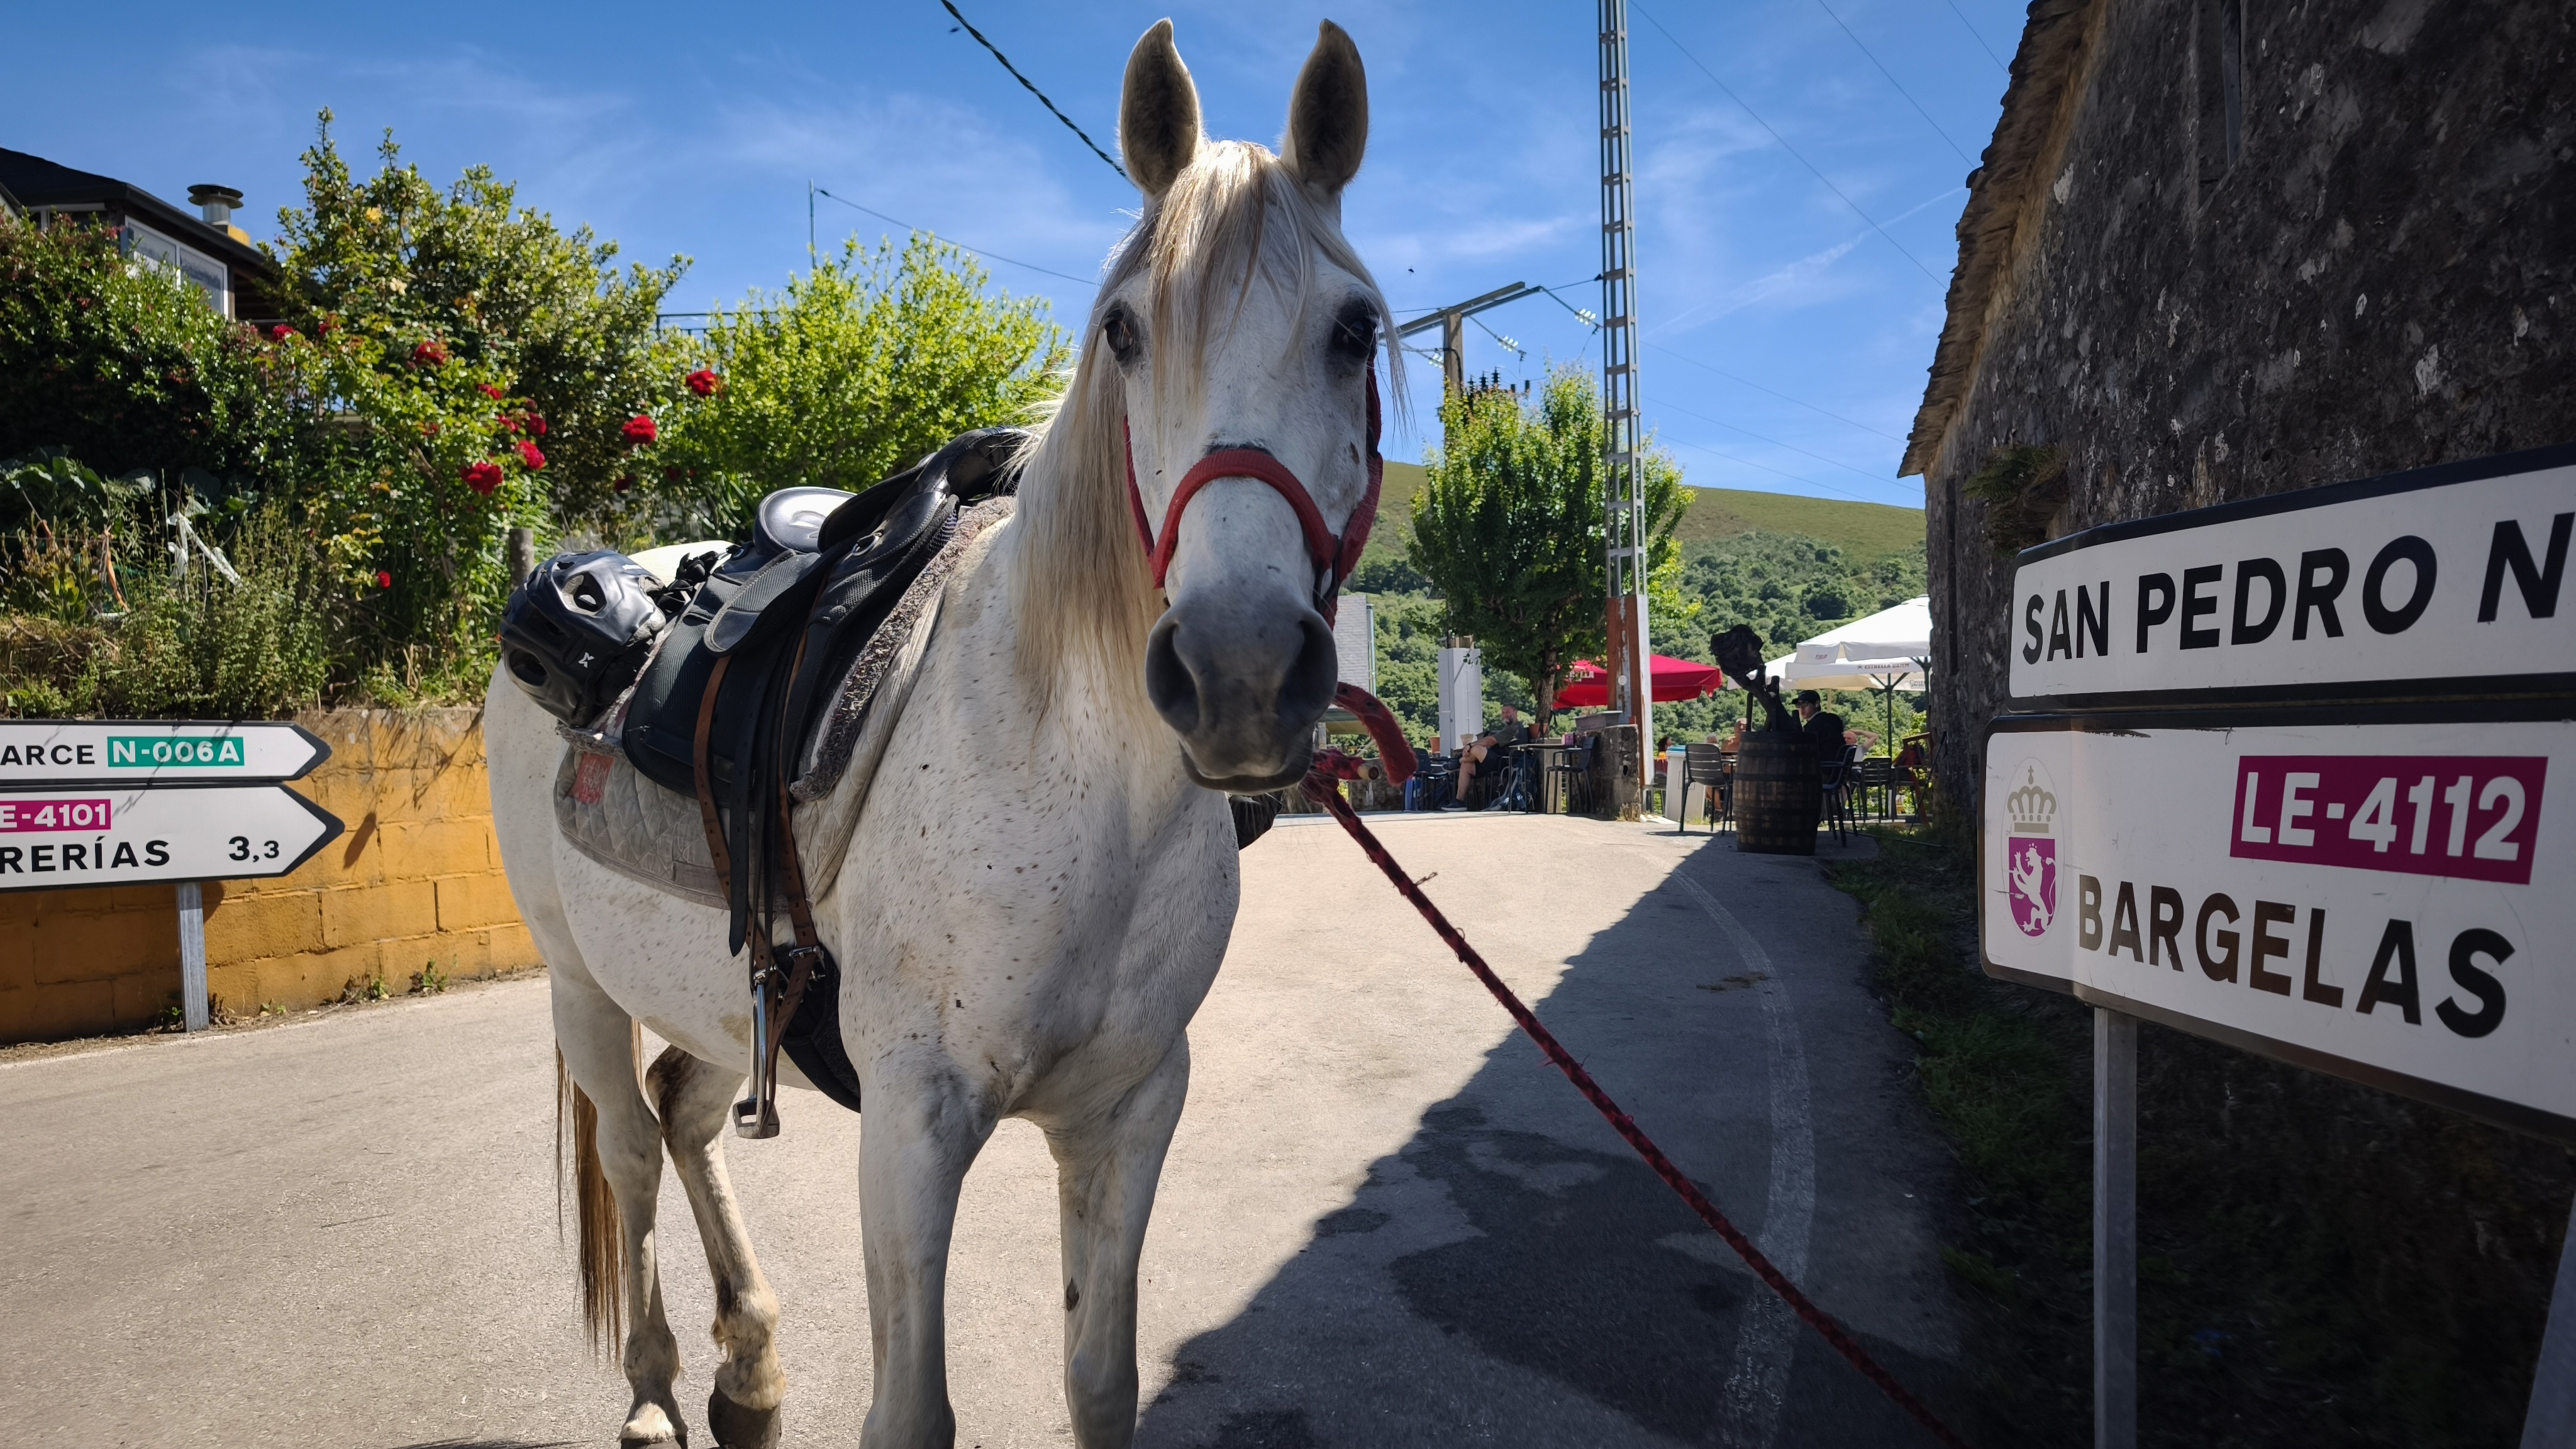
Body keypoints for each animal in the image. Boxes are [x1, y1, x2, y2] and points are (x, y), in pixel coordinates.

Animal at [485, 18, 1396, 1448]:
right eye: (1124, 332)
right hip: (579, 983)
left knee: (683, 1114)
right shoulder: (913, 1126)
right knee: (628, 1150)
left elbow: (1099, 1381)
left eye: (1353, 331)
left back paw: (749, 1370)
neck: (1071, 775)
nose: (1238, 668)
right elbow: (912, 1410)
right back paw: (652, 1394)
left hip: (715, 998)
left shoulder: (1130, 1112)